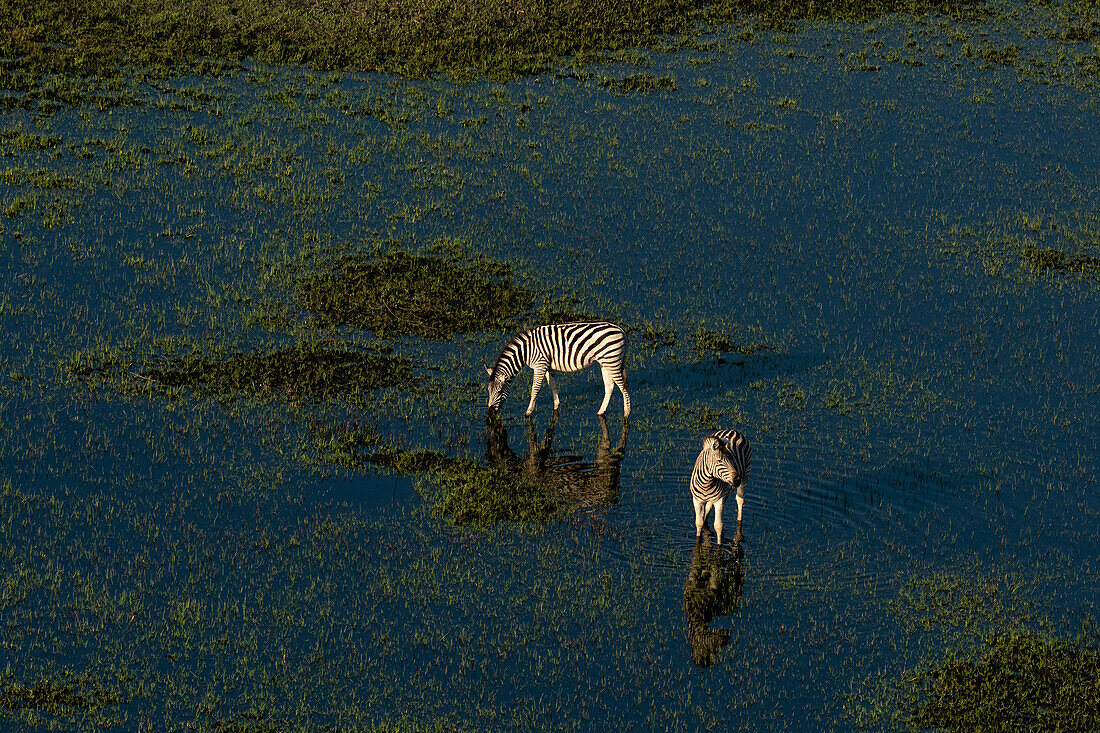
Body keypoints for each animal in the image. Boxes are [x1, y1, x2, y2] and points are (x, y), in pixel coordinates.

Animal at [486, 321, 633, 416]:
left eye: (499, 392)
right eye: (488, 391)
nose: (489, 413)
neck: (526, 351)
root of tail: (621, 330)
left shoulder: (540, 364)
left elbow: (535, 389)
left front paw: (528, 412)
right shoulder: (547, 365)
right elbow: (552, 385)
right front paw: (556, 405)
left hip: (612, 361)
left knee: (623, 386)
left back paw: (626, 413)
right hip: (606, 362)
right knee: (609, 386)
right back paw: (601, 411)